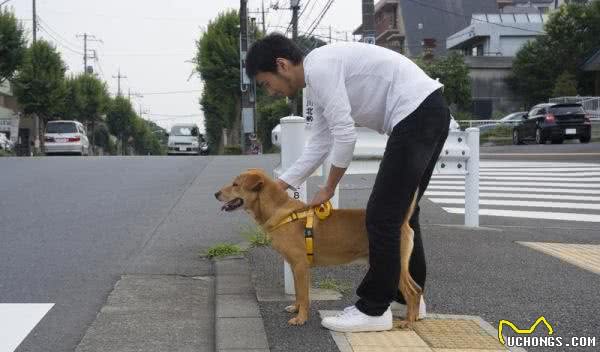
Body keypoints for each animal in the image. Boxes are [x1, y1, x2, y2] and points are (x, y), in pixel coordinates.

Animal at [216, 169, 422, 326]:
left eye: (235, 184)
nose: (215, 194)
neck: (280, 211)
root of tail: (402, 222)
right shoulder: (295, 266)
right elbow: (298, 293)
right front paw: (296, 308)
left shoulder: (300, 265)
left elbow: (304, 295)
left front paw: (301, 318)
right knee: (417, 289)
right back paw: (415, 317)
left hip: (396, 264)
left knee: (412, 292)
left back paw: (408, 322)